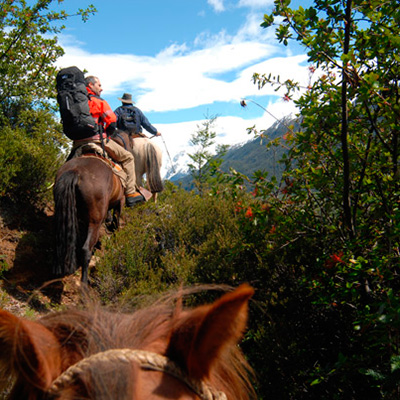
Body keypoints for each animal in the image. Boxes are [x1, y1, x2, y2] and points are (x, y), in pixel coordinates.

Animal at [53, 150, 124, 284]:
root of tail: (76, 171)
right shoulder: (120, 202)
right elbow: (116, 222)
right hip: (95, 222)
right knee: (86, 248)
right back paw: (84, 282)